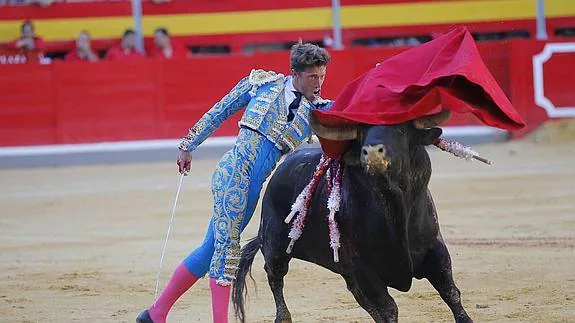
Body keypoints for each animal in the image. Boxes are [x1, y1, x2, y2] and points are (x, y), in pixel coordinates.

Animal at [233, 112, 472, 323]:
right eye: (361, 134)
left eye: (401, 130)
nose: (373, 153)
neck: (395, 206)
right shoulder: (363, 268)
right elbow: (388, 308)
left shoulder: (435, 249)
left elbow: (450, 292)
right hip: (275, 245)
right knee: (275, 276)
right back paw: (283, 317)